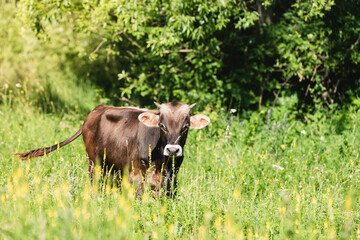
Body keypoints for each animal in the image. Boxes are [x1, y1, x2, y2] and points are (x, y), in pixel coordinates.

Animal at [15, 101, 210, 197]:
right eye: (162, 125)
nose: (173, 150)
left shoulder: (171, 179)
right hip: (94, 164)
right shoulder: (135, 176)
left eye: (185, 126)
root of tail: (97, 109)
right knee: (96, 184)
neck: (161, 161)